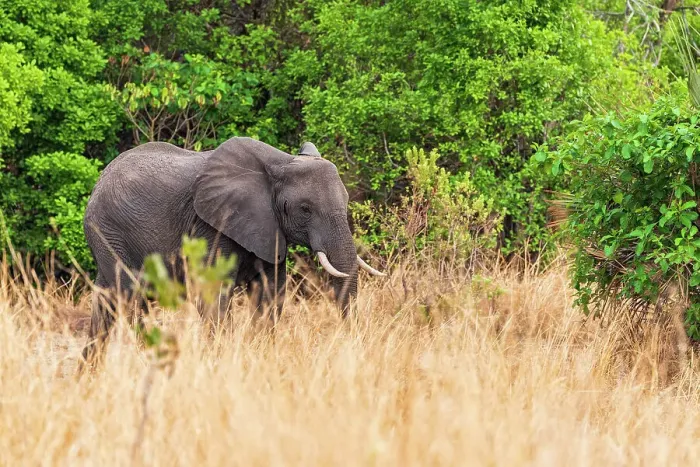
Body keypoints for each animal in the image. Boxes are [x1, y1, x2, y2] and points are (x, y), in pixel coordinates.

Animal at [79, 136, 384, 365]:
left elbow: (270, 293)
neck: (280, 163)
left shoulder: (267, 226)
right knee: (128, 298)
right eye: (305, 209)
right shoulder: (211, 225)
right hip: (109, 231)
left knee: (106, 303)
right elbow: (213, 293)